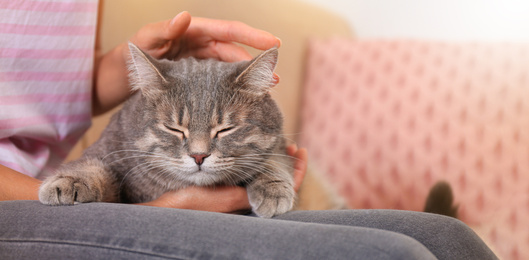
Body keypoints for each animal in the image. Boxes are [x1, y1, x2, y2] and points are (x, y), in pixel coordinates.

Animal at [39, 42, 294, 217]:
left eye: (225, 129)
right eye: (174, 129)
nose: (198, 156)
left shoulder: (279, 142)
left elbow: (274, 158)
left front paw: (273, 187)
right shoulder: (109, 147)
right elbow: (90, 166)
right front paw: (68, 181)